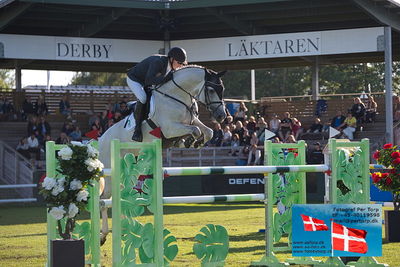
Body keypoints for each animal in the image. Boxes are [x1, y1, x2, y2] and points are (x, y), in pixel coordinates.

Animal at [98, 65, 227, 245]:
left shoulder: (190, 121)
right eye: (211, 90)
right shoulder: (170, 128)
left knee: (120, 197)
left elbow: (207, 131)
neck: (177, 96)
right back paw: (103, 235)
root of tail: (100, 140)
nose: (222, 116)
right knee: (104, 199)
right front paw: (189, 141)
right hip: (111, 174)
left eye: (222, 89)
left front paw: (192, 143)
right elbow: (196, 130)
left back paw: (124, 229)